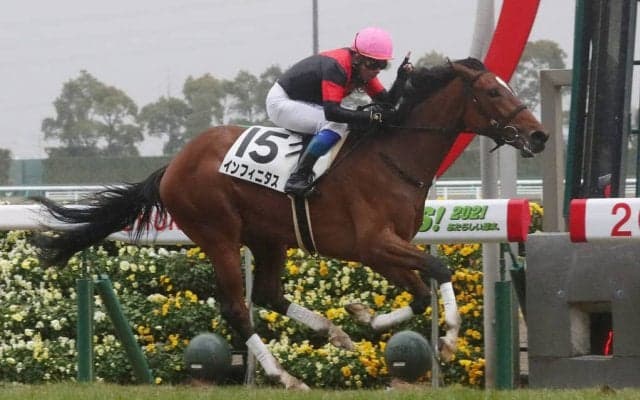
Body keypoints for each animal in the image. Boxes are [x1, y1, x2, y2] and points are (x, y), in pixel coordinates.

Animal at [31, 58, 548, 389]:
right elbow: (439, 271)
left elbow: (420, 294)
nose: (540, 135)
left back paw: (333, 333)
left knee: (268, 294)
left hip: (268, 238)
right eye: (492, 91)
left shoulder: (384, 247)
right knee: (238, 309)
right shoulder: (374, 243)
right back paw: (285, 375)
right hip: (218, 234)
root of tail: (174, 164)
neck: (392, 156)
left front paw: (363, 317)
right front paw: (450, 341)